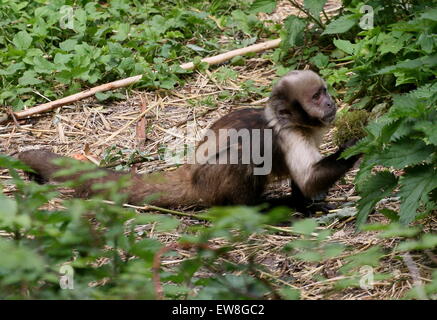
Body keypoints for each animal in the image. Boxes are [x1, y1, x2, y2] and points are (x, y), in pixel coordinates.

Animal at [16, 70, 358, 215]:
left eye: (324, 91)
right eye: (316, 97)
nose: (330, 103)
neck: (295, 123)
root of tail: (191, 176)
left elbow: (305, 180)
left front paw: (307, 205)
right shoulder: (288, 134)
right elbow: (309, 178)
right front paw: (359, 139)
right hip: (214, 182)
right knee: (243, 154)